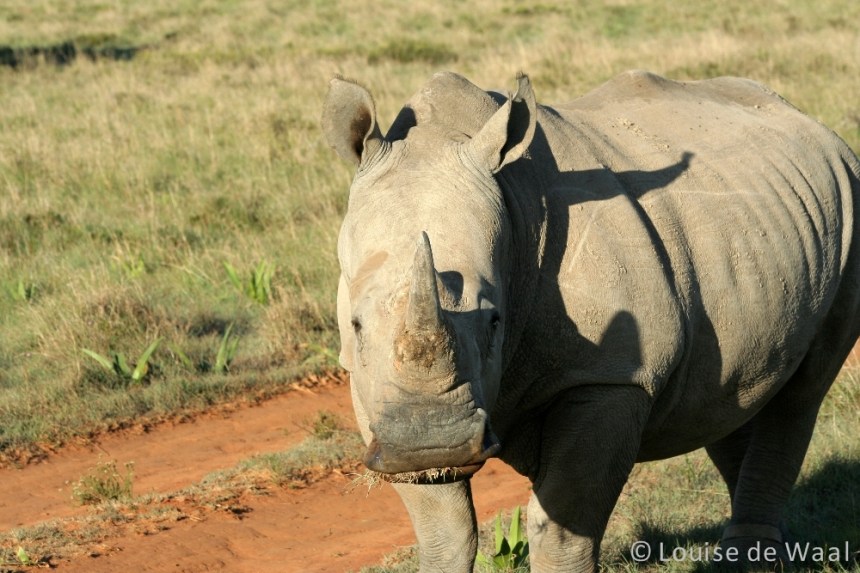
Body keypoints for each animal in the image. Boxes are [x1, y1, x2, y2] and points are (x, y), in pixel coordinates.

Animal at [321, 70, 860, 572]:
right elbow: (445, 529)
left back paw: (752, 557)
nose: (432, 441)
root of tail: (817, 125)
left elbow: (562, 523)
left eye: (496, 321)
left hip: (849, 202)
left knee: (801, 395)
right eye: (356, 326)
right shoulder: (375, 397)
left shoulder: (613, 375)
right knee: (731, 394)